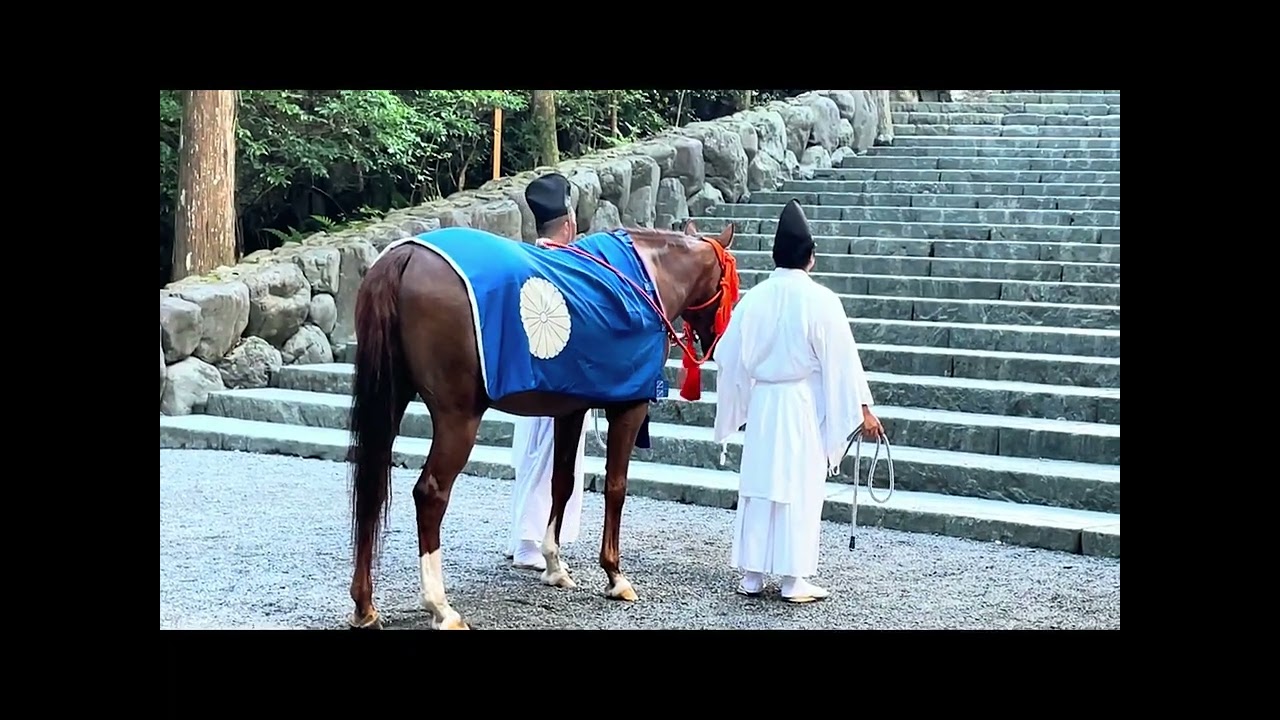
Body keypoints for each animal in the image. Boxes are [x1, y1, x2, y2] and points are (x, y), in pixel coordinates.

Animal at [345, 219, 738, 630]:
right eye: (728, 281)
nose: (718, 339)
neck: (644, 277)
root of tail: (406, 255)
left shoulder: (570, 409)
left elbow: (561, 482)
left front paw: (554, 564)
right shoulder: (628, 407)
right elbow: (616, 486)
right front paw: (615, 575)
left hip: (390, 399)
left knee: (371, 486)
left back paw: (365, 606)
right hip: (457, 418)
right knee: (430, 494)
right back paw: (440, 605)